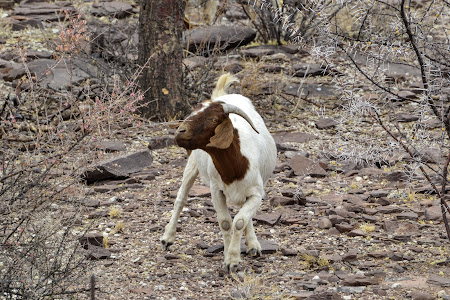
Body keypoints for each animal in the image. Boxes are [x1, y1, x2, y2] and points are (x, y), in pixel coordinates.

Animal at [160, 73, 276, 272]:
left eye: (213, 119)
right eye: (193, 113)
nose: (180, 132)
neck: (235, 167)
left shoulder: (256, 193)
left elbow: (240, 221)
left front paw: (234, 259)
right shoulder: (216, 190)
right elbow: (226, 223)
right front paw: (229, 258)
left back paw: (253, 245)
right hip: (192, 164)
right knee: (181, 198)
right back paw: (168, 238)